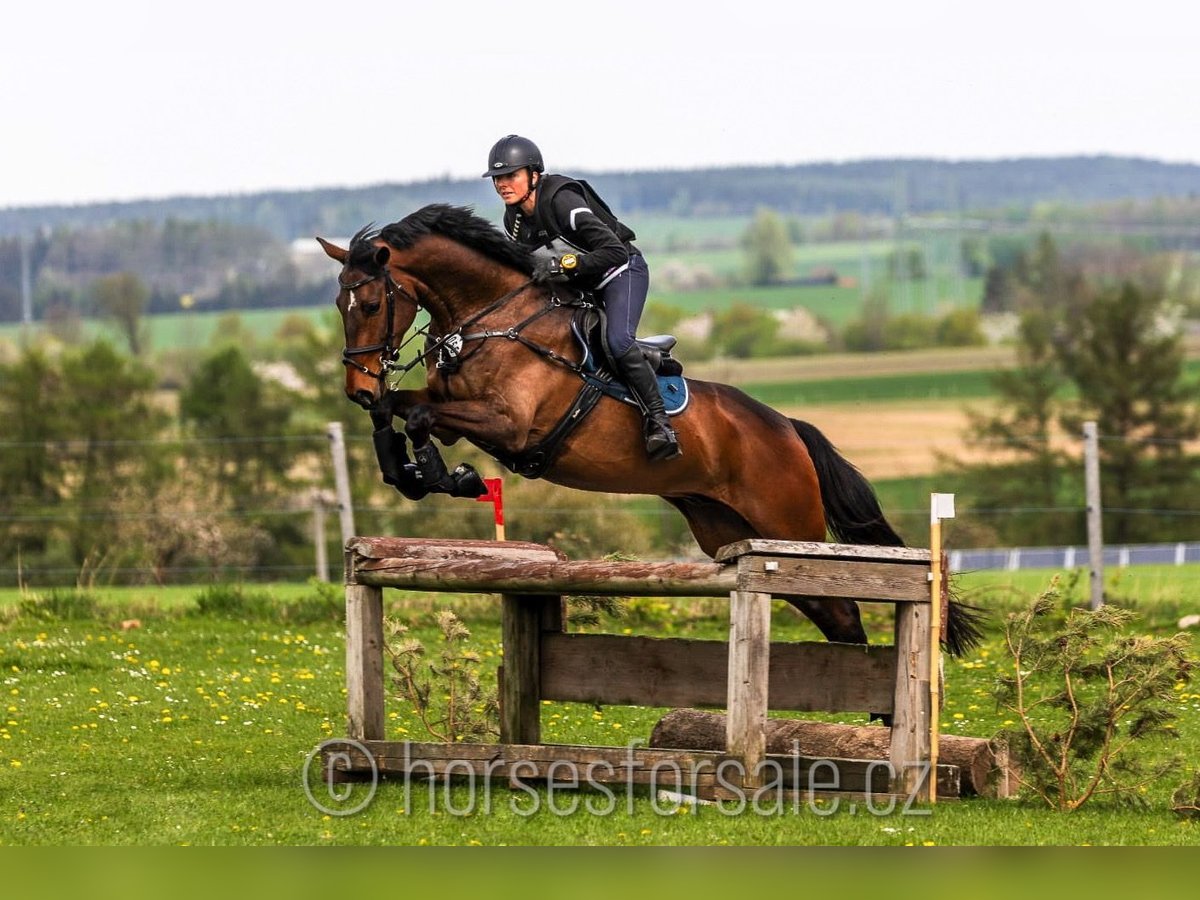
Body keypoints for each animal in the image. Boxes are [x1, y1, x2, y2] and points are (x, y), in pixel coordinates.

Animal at [319, 202, 984, 657]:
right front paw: (409, 470)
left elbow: (422, 416)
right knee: (832, 613)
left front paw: (443, 474)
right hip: (731, 534)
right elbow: (400, 409)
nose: (356, 387)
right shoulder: (452, 404)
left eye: (371, 304)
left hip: (787, 524)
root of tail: (788, 429)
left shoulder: (509, 426)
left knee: (844, 613)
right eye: (338, 306)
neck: (494, 317)